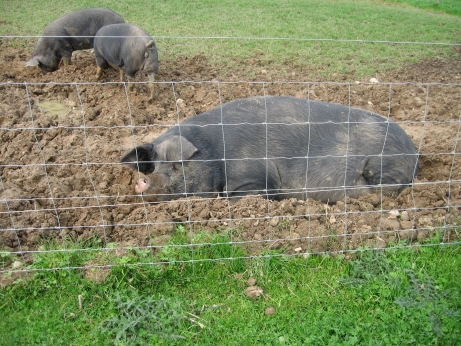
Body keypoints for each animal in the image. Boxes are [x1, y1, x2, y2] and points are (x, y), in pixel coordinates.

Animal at [120, 95, 418, 203]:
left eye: (175, 164)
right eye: (151, 164)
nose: (141, 180)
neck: (215, 151)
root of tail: (414, 150)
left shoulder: (258, 177)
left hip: (383, 164)